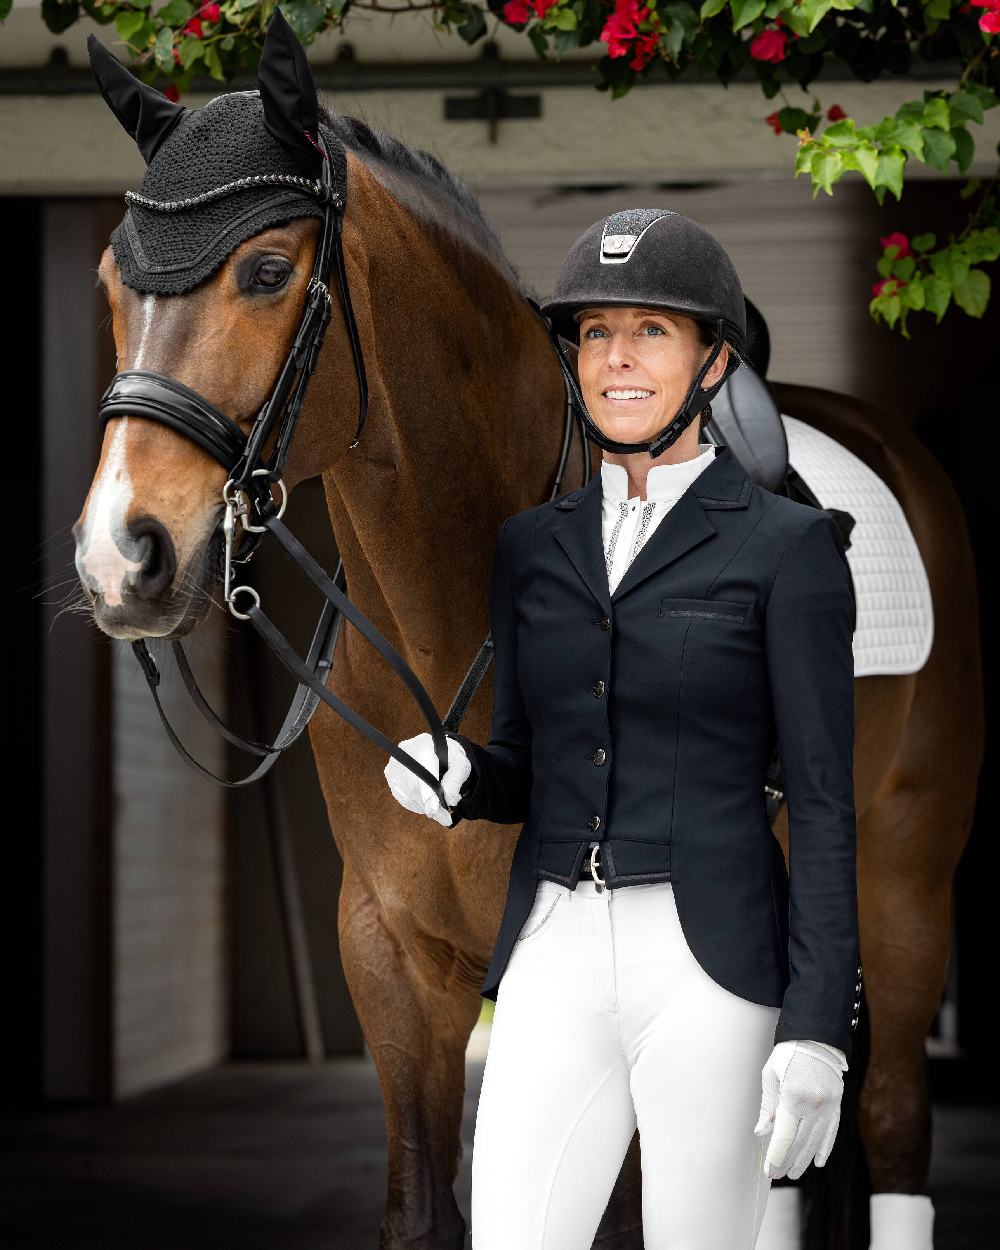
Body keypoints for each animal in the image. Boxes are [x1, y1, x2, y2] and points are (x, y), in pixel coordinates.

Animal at [76, 102, 985, 1250]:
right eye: (112, 279)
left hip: (902, 889)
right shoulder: (394, 959)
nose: (120, 556)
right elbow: (425, 1204)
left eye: (268, 270)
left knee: (893, 1116)